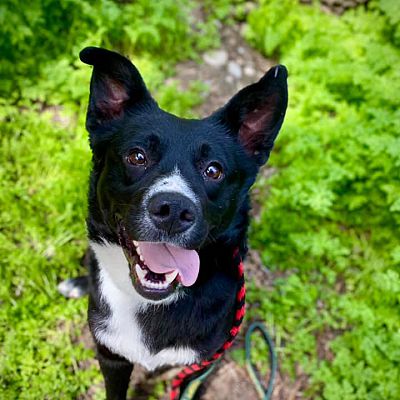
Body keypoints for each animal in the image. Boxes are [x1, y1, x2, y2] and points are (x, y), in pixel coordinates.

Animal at [76, 45, 288, 398]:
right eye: (137, 156)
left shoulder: (199, 366)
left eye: (214, 170)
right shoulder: (110, 355)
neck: (151, 304)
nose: (174, 210)